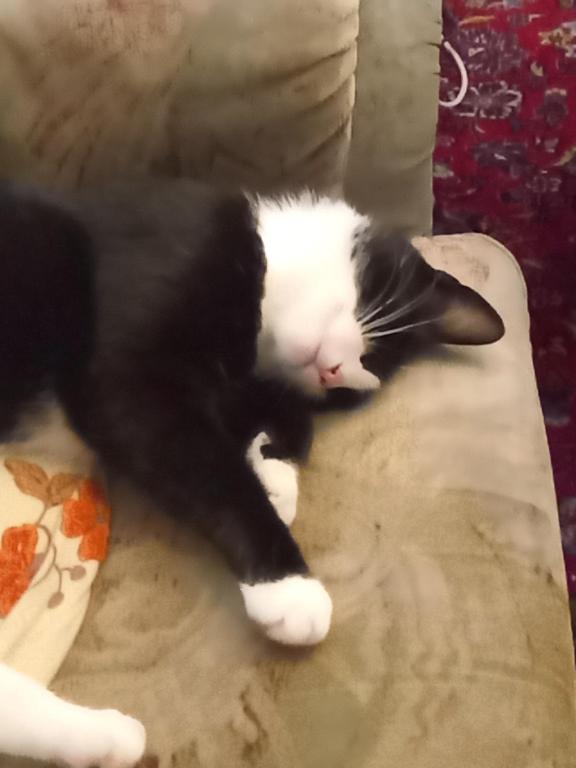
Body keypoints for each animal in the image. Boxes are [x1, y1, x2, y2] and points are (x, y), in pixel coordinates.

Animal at [0, 177, 504, 764]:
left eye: (357, 382)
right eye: (379, 326)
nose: (338, 372)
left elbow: (278, 418)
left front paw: (274, 472)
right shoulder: (128, 371)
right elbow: (211, 469)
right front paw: (286, 581)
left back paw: (102, 739)